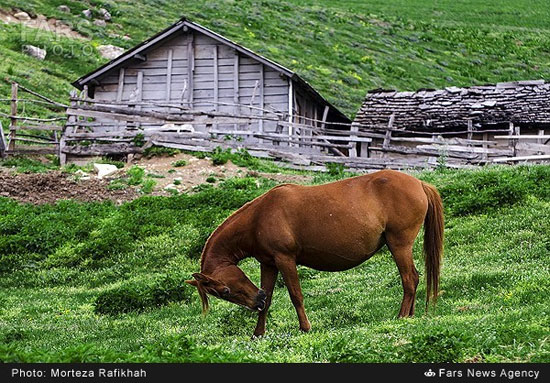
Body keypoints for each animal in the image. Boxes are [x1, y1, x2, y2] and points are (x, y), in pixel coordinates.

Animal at [185, 170, 444, 338]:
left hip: (399, 245)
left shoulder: (285, 260)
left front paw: (305, 328)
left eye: (225, 291)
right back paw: (410, 316)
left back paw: (401, 317)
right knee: (414, 279)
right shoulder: (268, 264)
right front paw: (258, 333)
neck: (259, 217)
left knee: (409, 279)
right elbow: (270, 298)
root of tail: (420, 183)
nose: (256, 301)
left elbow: (296, 295)